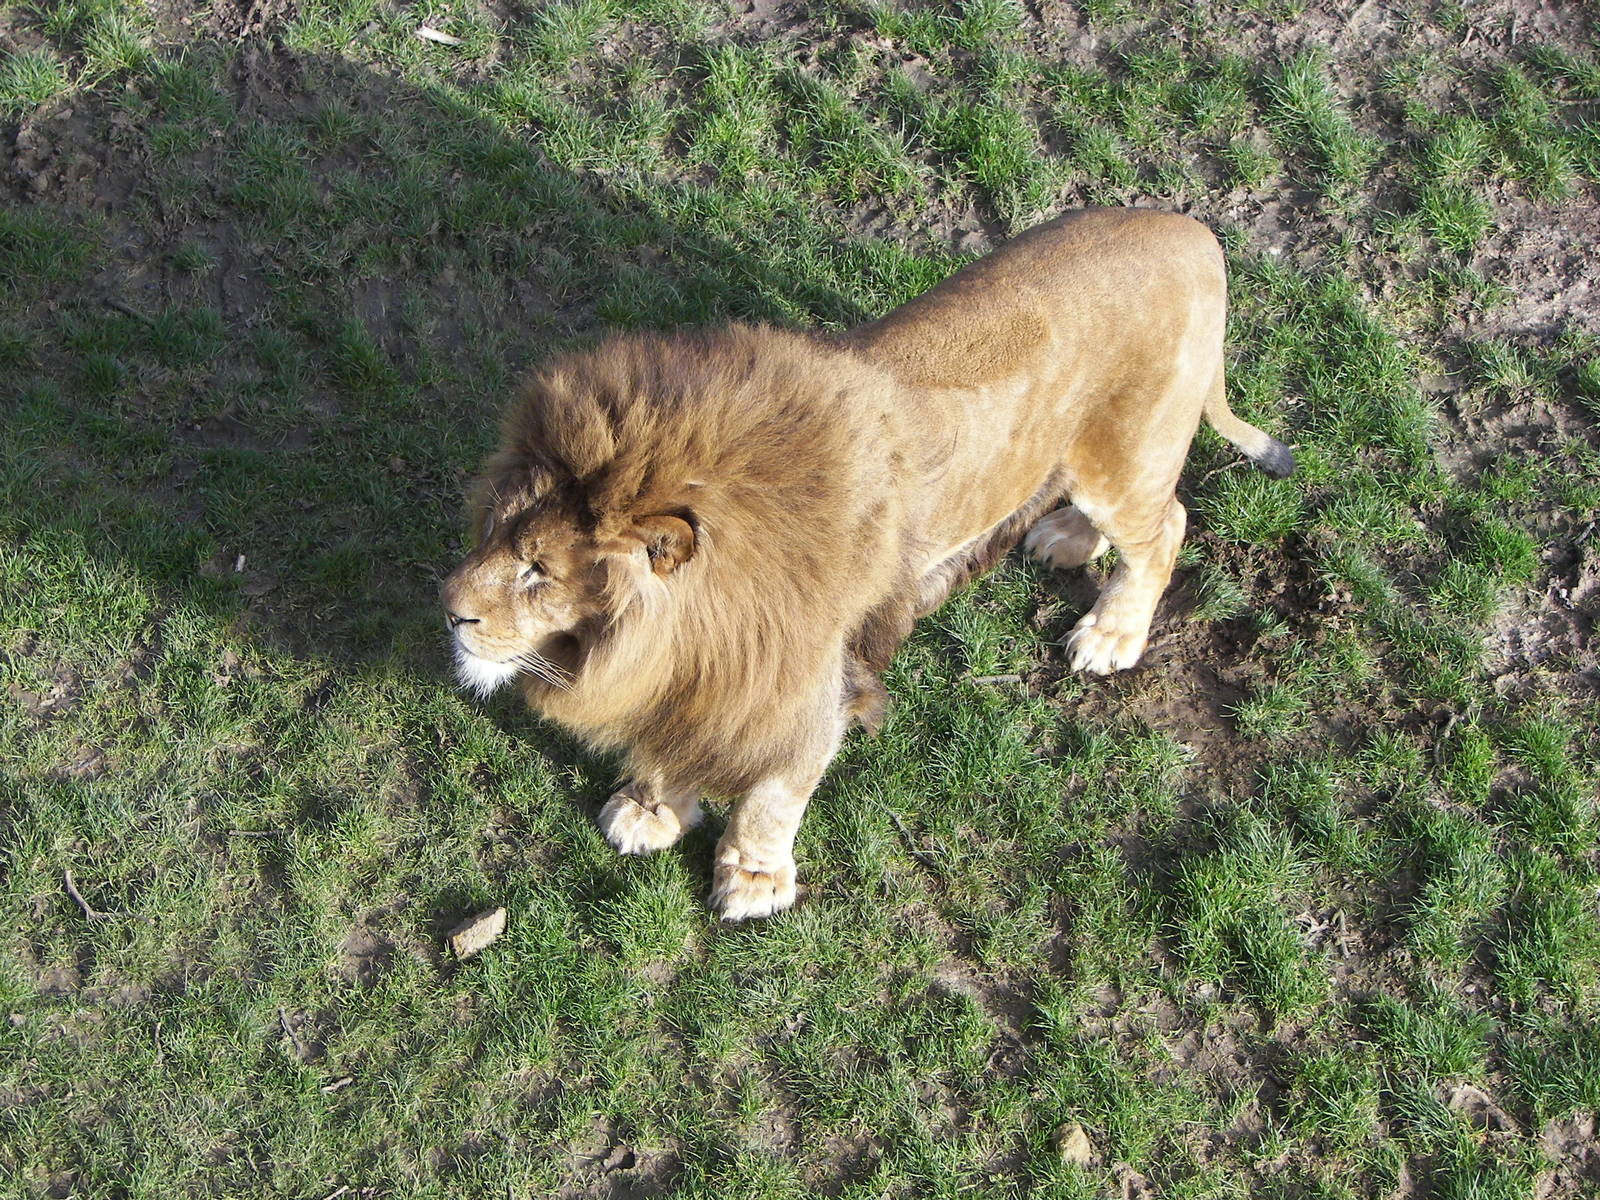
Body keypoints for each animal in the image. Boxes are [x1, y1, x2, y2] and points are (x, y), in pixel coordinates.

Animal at [440, 208, 1294, 921]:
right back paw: (1066, 539)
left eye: (538, 571)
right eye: (490, 530)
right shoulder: (702, 671)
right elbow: (674, 742)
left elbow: (775, 792)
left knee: (1168, 526)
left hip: (1128, 456)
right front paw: (651, 809)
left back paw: (1110, 633)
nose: (449, 610)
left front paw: (753, 880)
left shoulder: (806, 684)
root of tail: (1192, 231)